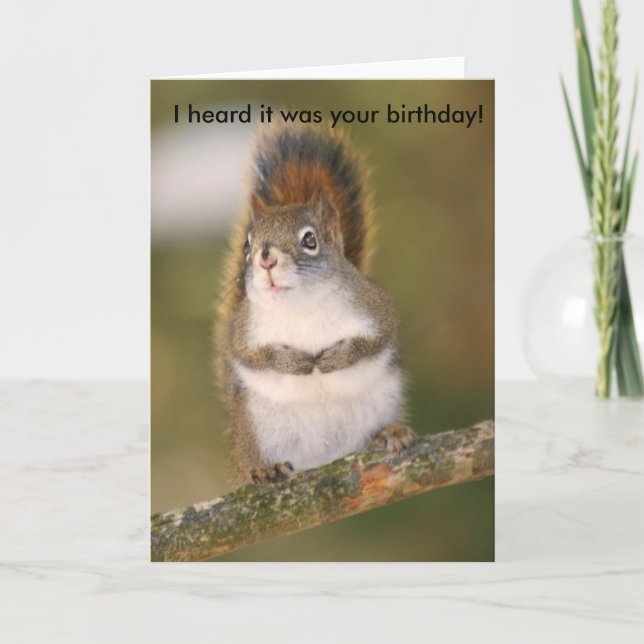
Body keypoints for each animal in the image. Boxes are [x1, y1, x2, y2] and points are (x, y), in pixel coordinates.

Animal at [216, 125, 415, 485]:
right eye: (247, 245)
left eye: (310, 240)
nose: (266, 258)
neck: (300, 306)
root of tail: (323, 458)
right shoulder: (242, 330)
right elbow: (252, 355)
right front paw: (292, 362)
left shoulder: (375, 308)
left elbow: (374, 340)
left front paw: (337, 357)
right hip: (255, 427)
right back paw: (263, 468)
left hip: (382, 401)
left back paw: (389, 433)